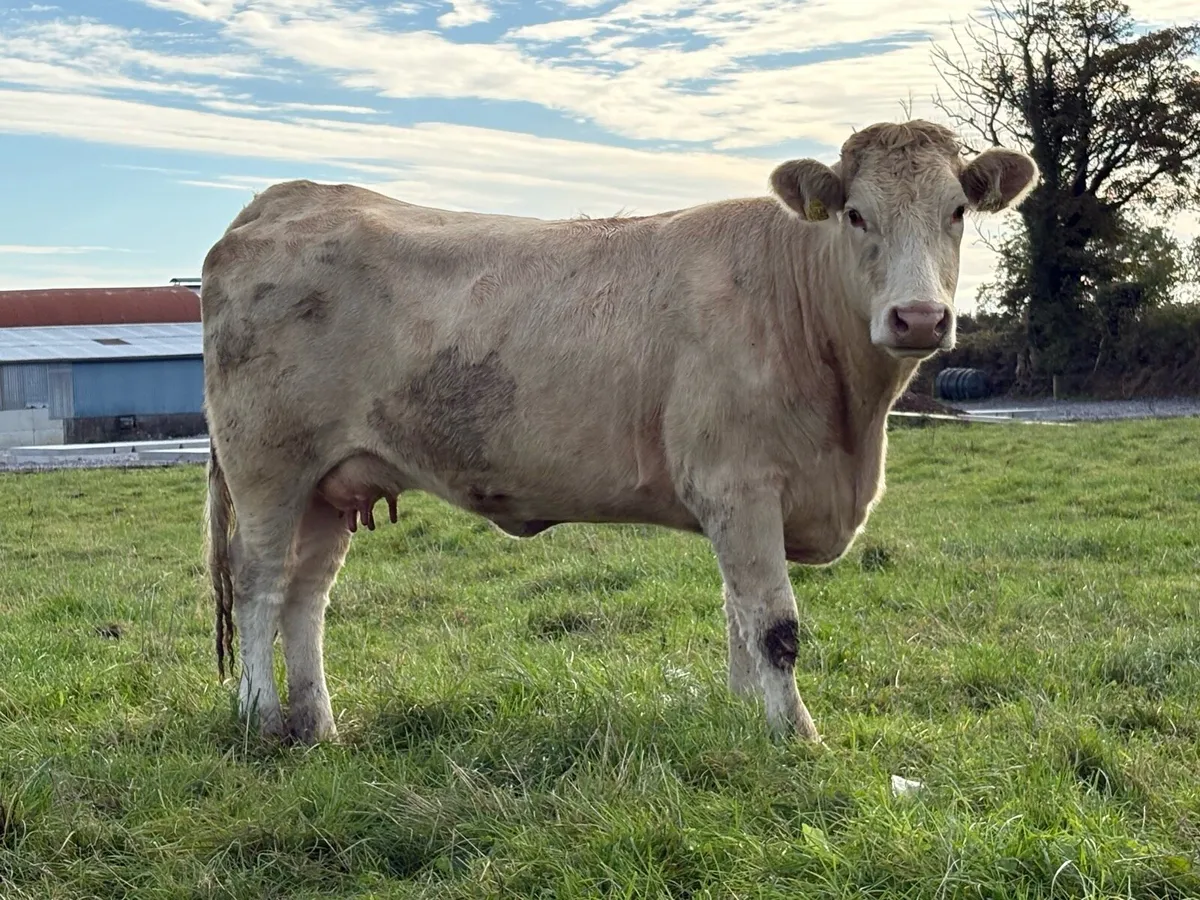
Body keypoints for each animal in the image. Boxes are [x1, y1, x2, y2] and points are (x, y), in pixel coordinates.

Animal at [200, 119, 1038, 745]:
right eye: (857, 214)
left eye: (956, 212)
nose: (919, 318)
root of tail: (282, 199)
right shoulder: (739, 485)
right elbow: (773, 626)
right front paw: (799, 738)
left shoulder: (737, 502)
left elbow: (737, 617)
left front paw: (747, 728)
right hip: (268, 466)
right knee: (259, 582)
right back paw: (263, 717)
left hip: (332, 480)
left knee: (307, 594)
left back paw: (318, 726)